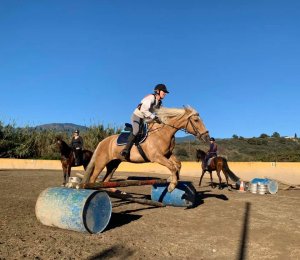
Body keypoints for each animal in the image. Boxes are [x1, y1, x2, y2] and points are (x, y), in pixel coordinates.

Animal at [81, 105, 209, 193]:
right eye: (196, 120)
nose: (207, 136)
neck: (163, 133)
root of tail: (102, 142)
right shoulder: (156, 157)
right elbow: (172, 166)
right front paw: (172, 186)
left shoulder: (167, 154)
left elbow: (177, 164)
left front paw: (173, 179)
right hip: (101, 163)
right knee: (93, 179)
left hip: (113, 164)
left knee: (106, 180)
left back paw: (116, 191)